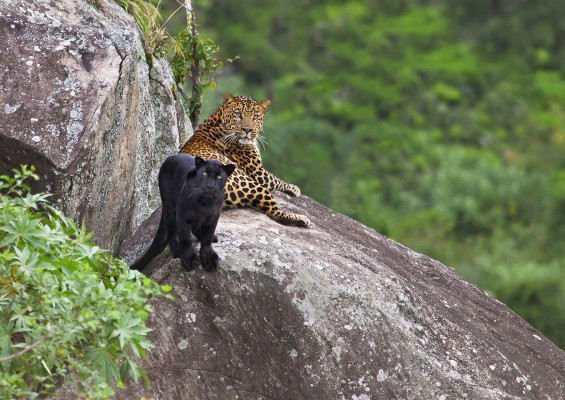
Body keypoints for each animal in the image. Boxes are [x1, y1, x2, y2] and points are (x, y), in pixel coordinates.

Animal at [180, 92, 308, 227]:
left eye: (255, 117)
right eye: (238, 114)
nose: (247, 130)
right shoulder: (259, 173)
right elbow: (276, 179)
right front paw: (294, 188)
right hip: (252, 185)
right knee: (275, 213)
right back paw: (302, 219)